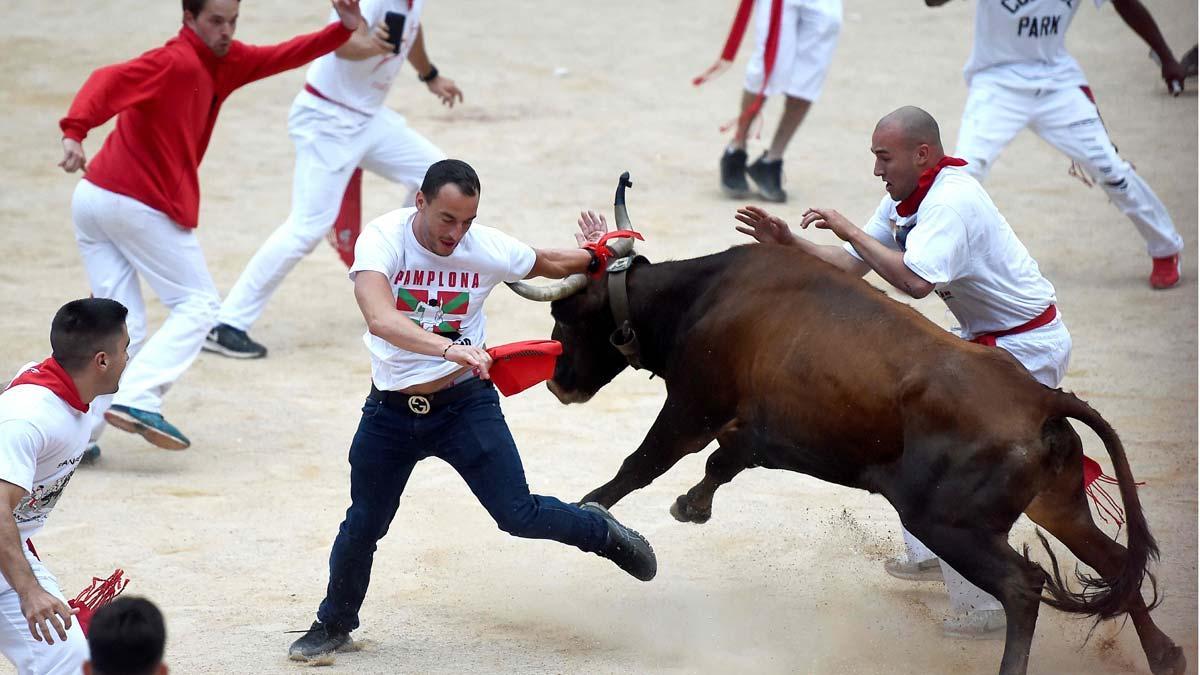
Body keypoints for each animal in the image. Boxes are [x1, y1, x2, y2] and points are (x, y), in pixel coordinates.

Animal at [504, 174, 1180, 672]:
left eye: (565, 318)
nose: (559, 383)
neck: (703, 295)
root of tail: (1041, 398)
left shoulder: (692, 408)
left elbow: (640, 464)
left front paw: (592, 510)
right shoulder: (766, 433)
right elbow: (723, 462)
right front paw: (690, 507)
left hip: (946, 521)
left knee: (1023, 586)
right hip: (1057, 504)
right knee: (1115, 562)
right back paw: (1166, 656)